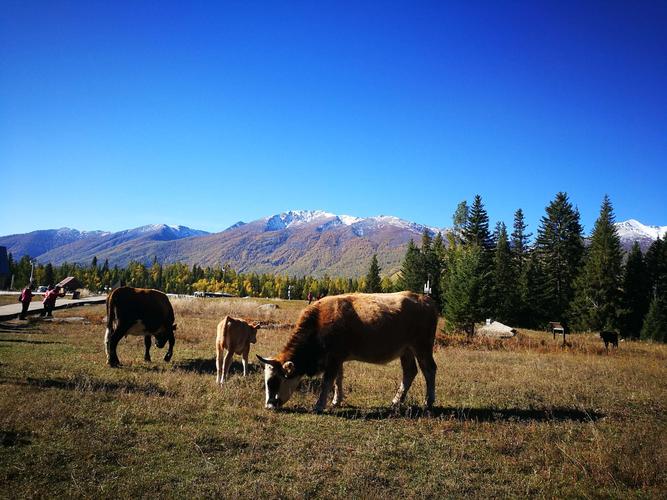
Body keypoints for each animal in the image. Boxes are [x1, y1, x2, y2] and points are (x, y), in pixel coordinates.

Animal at [256, 292, 438, 412]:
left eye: (274, 381)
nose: (269, 405)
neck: (319, 321)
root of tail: (425, 299)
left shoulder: (334, 357)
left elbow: (327, 381)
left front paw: (319, 405)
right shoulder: (338, 359)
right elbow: (338, 379)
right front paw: (336, 401)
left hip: (422, 346)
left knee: (429, 370)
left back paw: (428, 402)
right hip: (406, 350)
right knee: (410, 372)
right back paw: (396, 401)